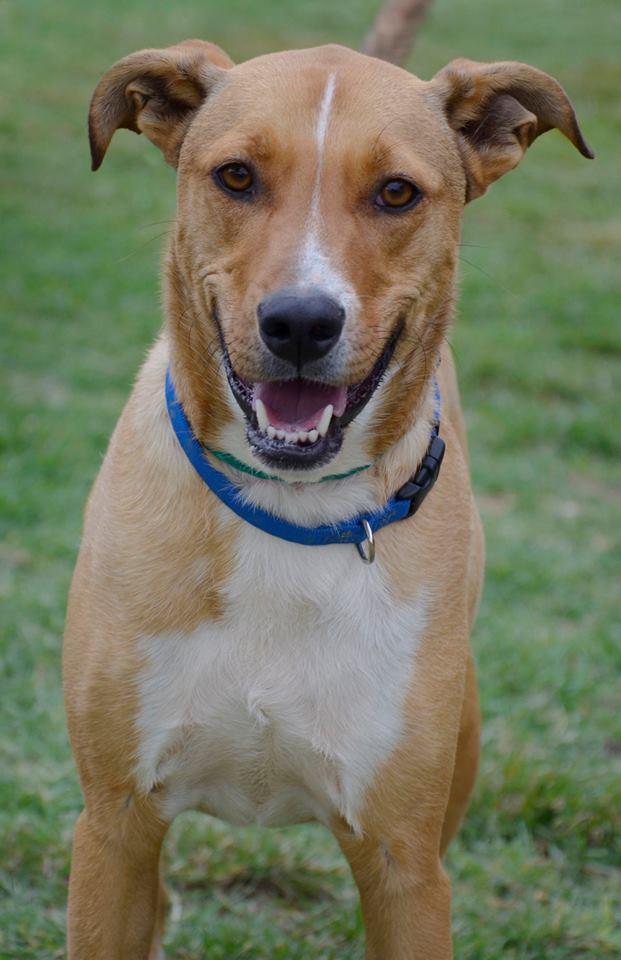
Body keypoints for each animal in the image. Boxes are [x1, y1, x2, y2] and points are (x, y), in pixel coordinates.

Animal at [64, 24, 592, 960]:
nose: (301, 323)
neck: (288, 514)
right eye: (237, 176)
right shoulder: (113, 828)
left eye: (396, 192)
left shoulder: (404, 867)